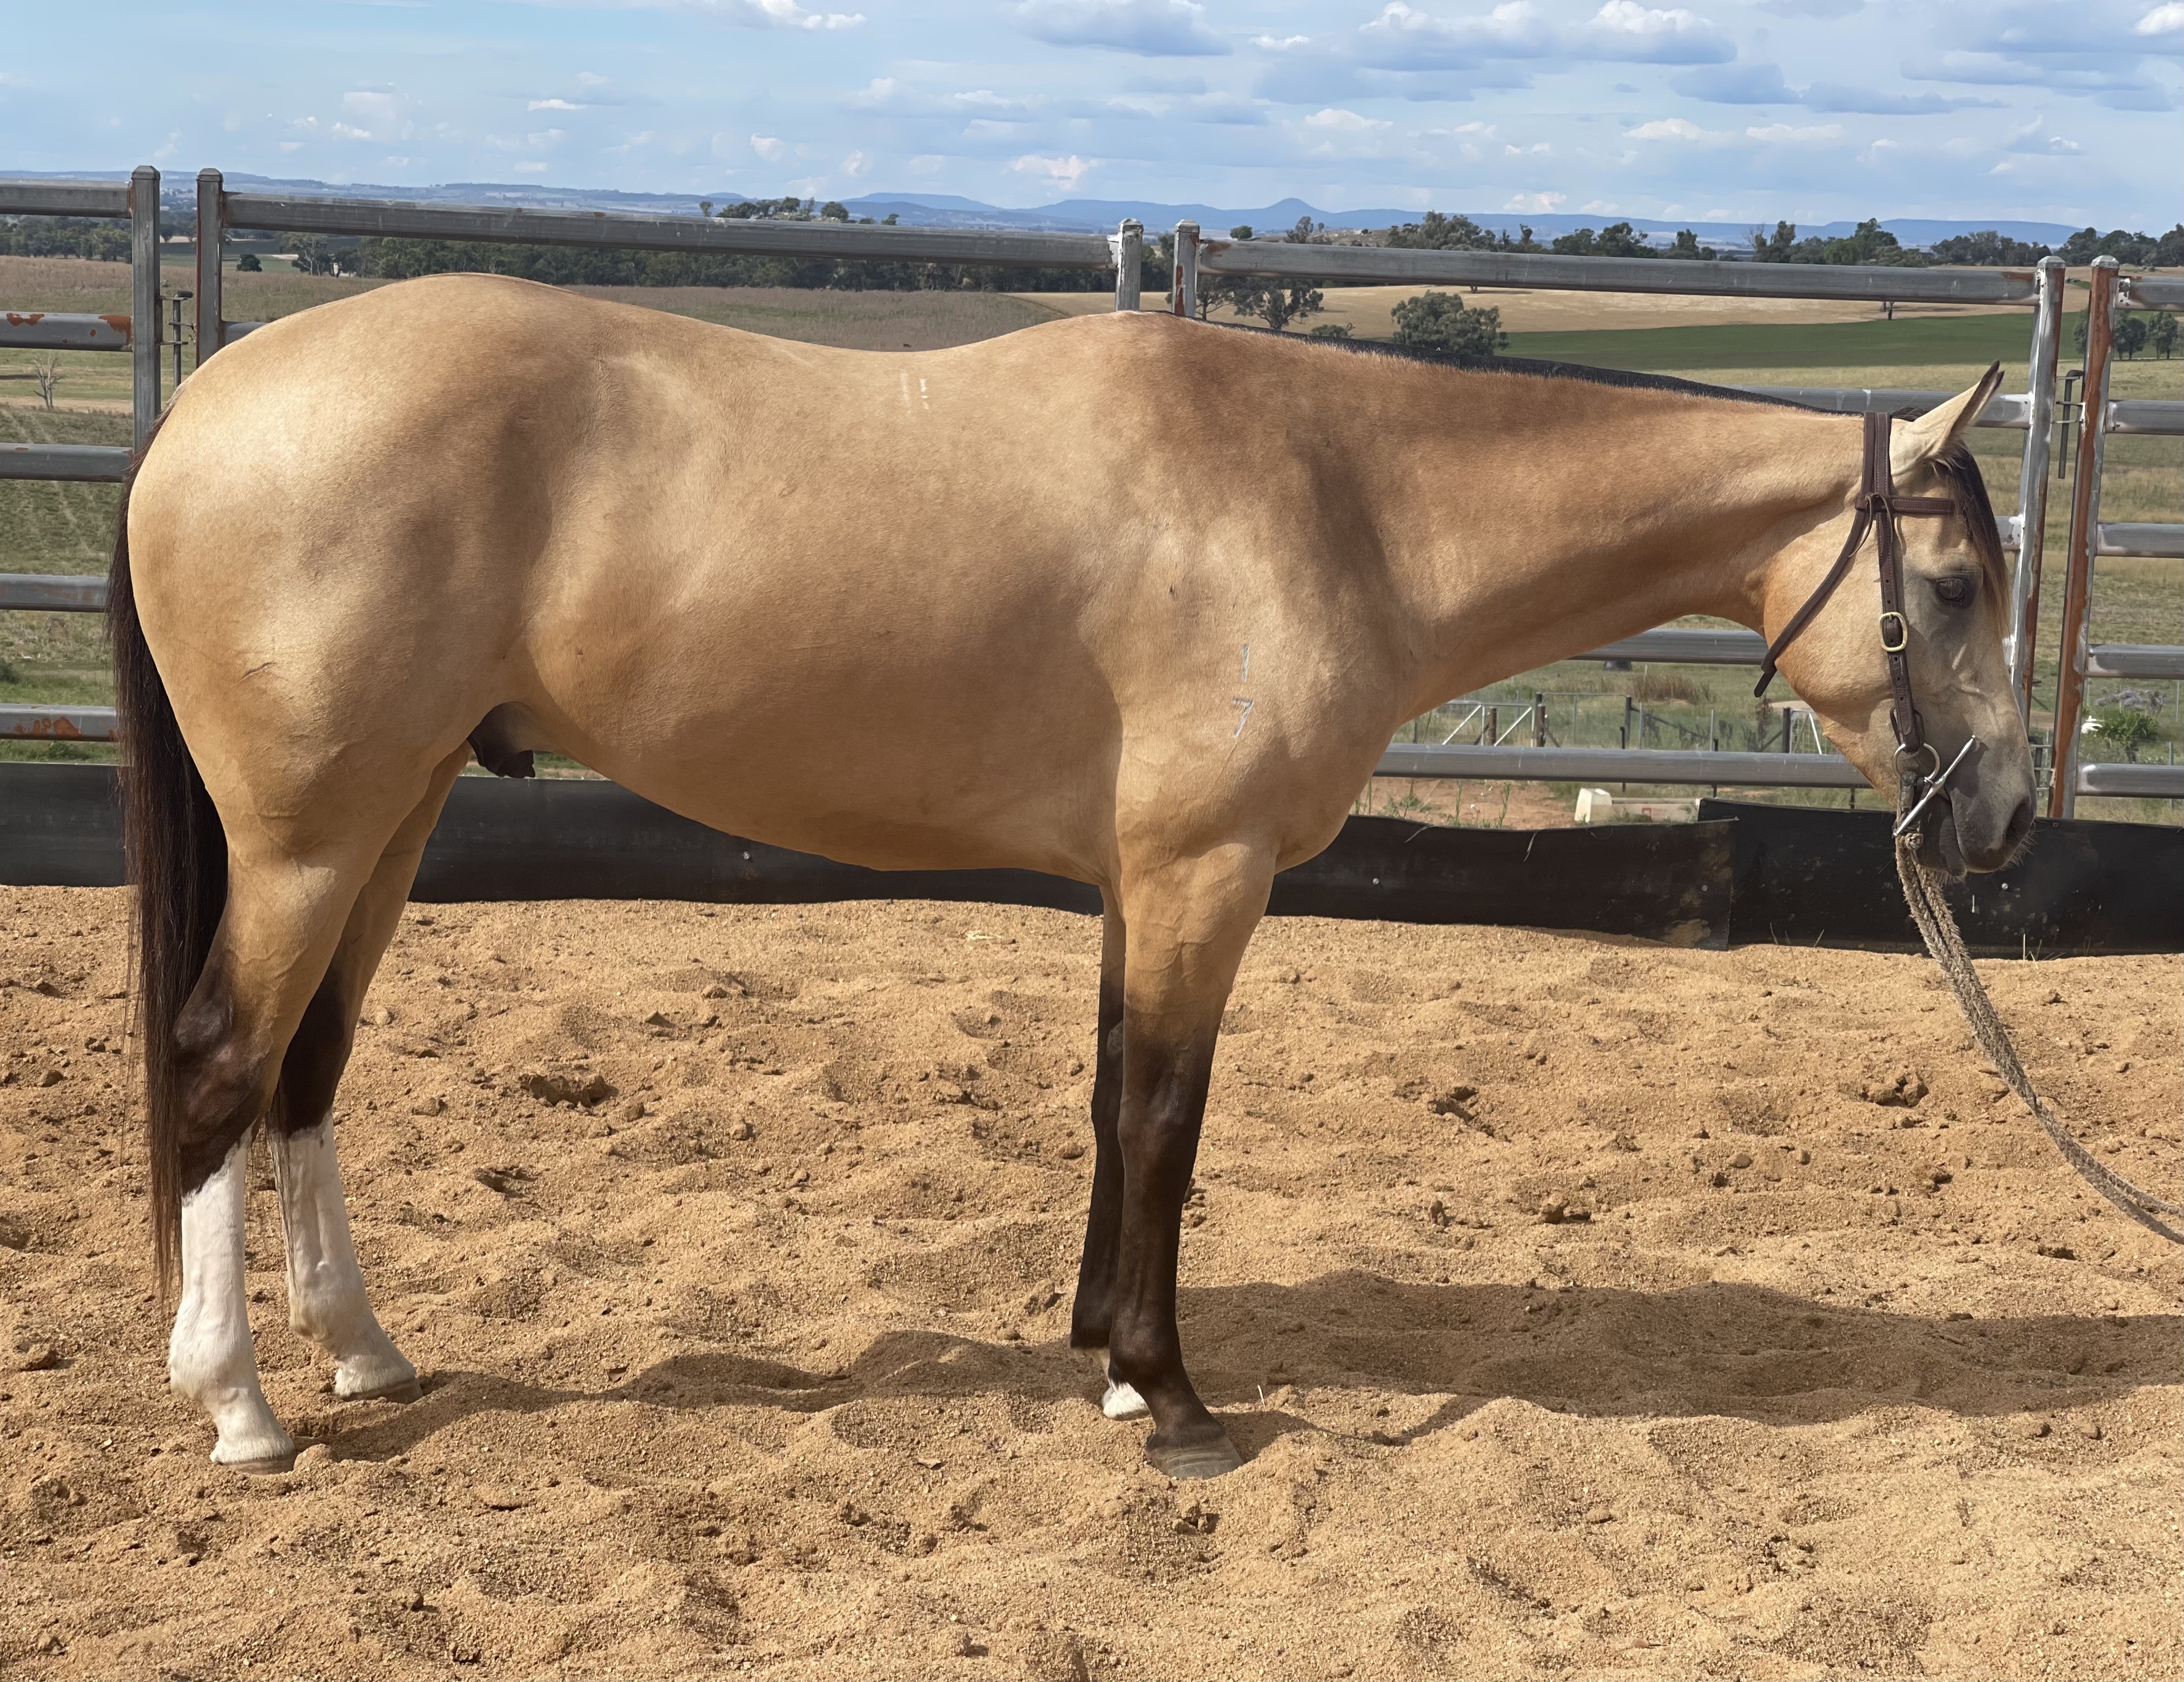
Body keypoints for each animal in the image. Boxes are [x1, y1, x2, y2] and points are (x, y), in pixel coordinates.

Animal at [107, 274, 2033, 1479]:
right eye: (1947, 590)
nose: (2005, 819)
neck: (1342, 497)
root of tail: (207, 401)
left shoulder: (1139, 880)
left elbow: (1112, 1098)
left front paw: (1101, 1349)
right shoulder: (1203, 870)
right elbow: (1167, 1115)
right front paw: (1169, 1396)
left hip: (398, 814)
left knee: (306, 1071)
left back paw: (360, 1348)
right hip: (311, 836)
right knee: (217, 1060)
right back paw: (241, 1407)